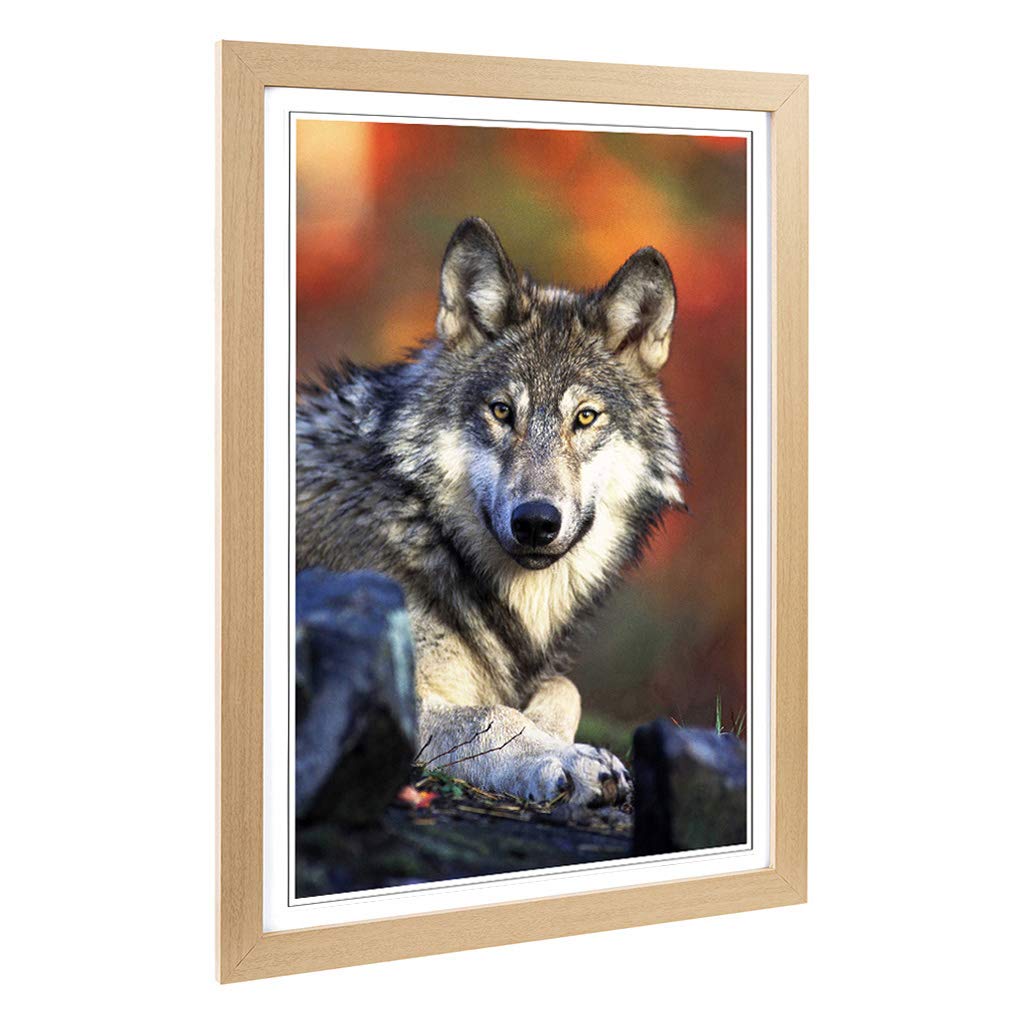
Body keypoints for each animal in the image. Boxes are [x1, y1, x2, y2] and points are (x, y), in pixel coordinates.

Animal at [297, 217, 685, 808]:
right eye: (502, 411)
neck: (423, 525)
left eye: (585, 417)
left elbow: (564, 687)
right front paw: (567, 759)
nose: (536, 522)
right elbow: (493, 715)